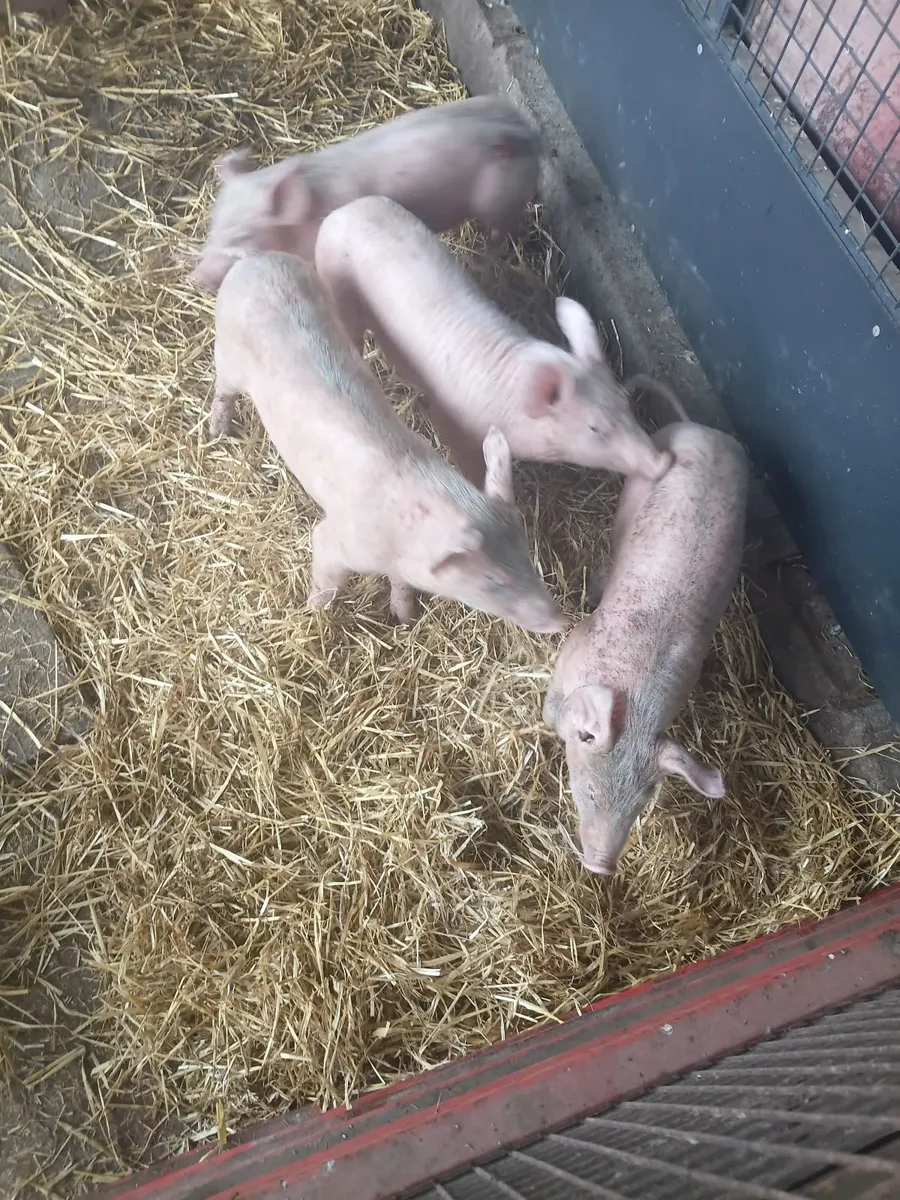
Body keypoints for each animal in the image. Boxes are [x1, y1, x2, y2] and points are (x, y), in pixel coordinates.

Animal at [191, 95, 541, 292]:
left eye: (242, 237)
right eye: (212, 228)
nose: (197, 276)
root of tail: (523, 131)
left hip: (499, 200)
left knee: (501, 232)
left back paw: (479, 261)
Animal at [210, 250, 565, 634]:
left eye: (526, 555)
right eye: (494, 582)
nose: (561, 621)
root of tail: (256, 259)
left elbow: (401, 585)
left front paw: (403, 618)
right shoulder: (339, 538)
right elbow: (326, 569)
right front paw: (315, 612)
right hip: (228, 354)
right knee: (222, 390)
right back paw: (218, 431)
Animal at [314, 195, 672, 487]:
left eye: (627, 405)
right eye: (595, 428)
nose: (663, 461)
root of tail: (341, 212)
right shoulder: (453, 422)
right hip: (336, 284)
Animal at [542, 418, 749, 875]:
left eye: (638, 807)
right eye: (591, 793)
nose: (601, 867)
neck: (637, 705)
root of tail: (706, 429)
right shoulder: (575, 644)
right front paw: (549, 718)